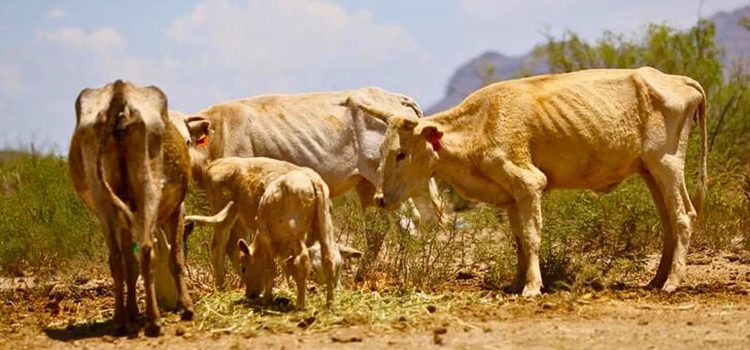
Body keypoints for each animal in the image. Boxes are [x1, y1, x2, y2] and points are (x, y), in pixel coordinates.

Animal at [68, 80, 194, 334]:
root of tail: (120, 92)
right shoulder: (178, 209)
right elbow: (176, 258)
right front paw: (185, 307)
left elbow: (129, 265)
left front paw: (132, 312)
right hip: (149, 188)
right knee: (147, 250)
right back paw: (154, 321)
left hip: (102, 199)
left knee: (117, 259)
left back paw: (119, 320)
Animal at [175, 86, 446, 284]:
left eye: (186, 140)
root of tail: (395, 97)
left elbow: (235, 243)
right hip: (366, 185)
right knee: (378, 230)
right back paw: (361, 277)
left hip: (389, 183)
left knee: (407, 225)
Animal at [185, 157, 338, 308]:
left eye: (245, 268)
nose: (250, 294)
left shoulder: (268, 236)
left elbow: (275, 266)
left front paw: (270, 295)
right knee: (221, 247)